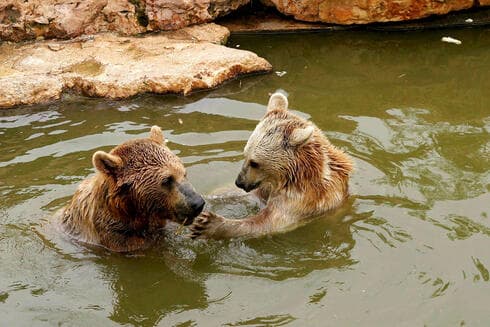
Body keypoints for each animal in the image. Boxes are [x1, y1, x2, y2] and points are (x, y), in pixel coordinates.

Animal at [189, 93, 354, 240]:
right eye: (245, 155)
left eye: (255, 162)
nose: (239, 182)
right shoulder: (264, 187)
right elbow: (238, 193)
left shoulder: (301, 200)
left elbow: (267, 223)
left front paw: (208, 224)